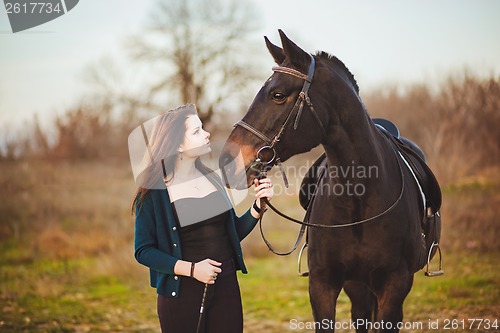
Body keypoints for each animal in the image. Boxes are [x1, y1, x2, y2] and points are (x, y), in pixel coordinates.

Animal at [219, 29, 442, 330]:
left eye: (278, 95)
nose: (227, 161)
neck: (360, 198)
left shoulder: (395, 286)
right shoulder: (323, 284)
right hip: (356, 284)